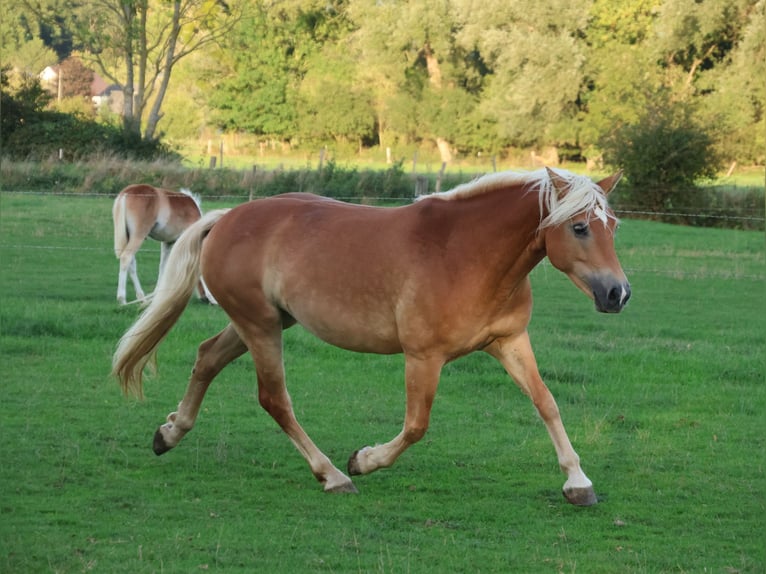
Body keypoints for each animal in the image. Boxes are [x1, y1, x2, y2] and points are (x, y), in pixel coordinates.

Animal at [112, 167, 630, 506]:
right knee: (274, 398)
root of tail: (227, 218)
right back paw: (332, 475)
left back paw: (169, 433)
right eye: (579, 227)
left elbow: (547, 403)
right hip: (260, 327)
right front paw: (363, 460)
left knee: (206, 359)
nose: (618, 294)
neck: (467, 252)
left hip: (263, 323)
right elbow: (416, 426)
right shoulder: (423, 357)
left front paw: (578, 482)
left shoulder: (509, 343)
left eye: (613, 227)